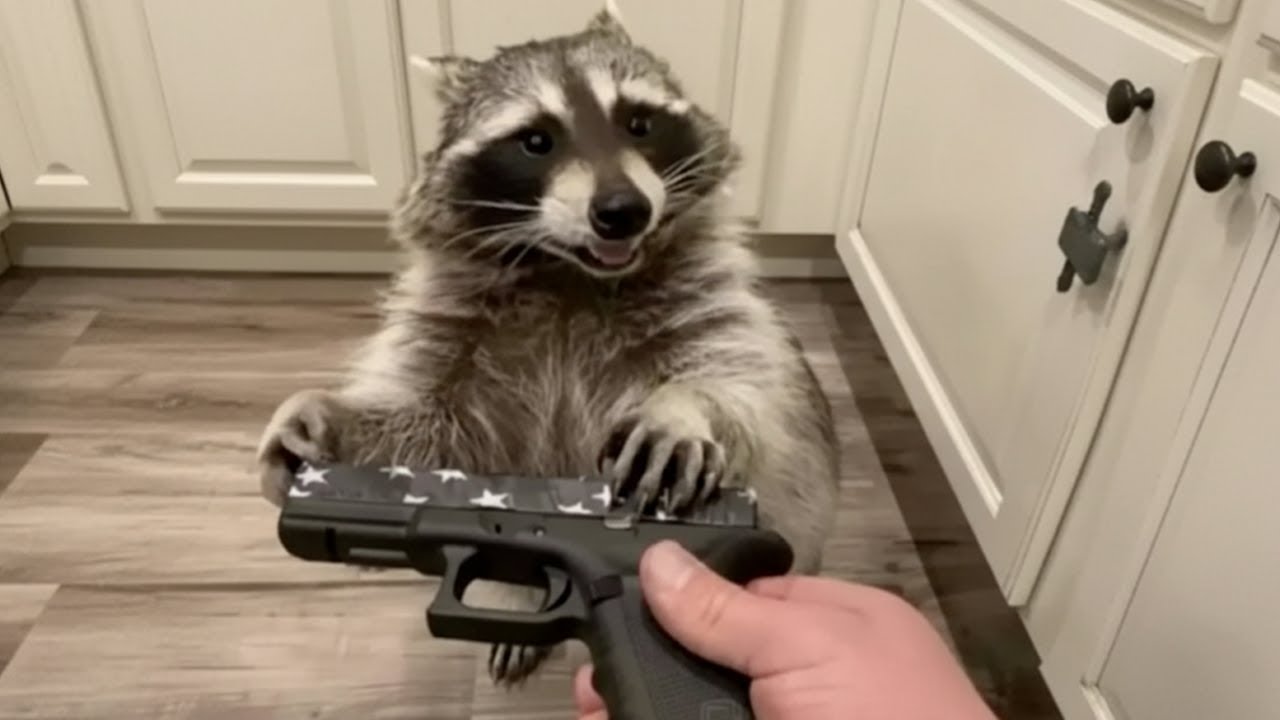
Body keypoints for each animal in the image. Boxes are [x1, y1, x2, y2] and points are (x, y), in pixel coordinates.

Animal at [257, 1, 840, 687]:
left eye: (638, 122)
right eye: (536, 140)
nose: (623, 210)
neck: (571, 275)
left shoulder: (710, 301)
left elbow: (747, 382)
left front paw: (684, 407)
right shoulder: (451, 327)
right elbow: (433, 427)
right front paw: (328, 424)